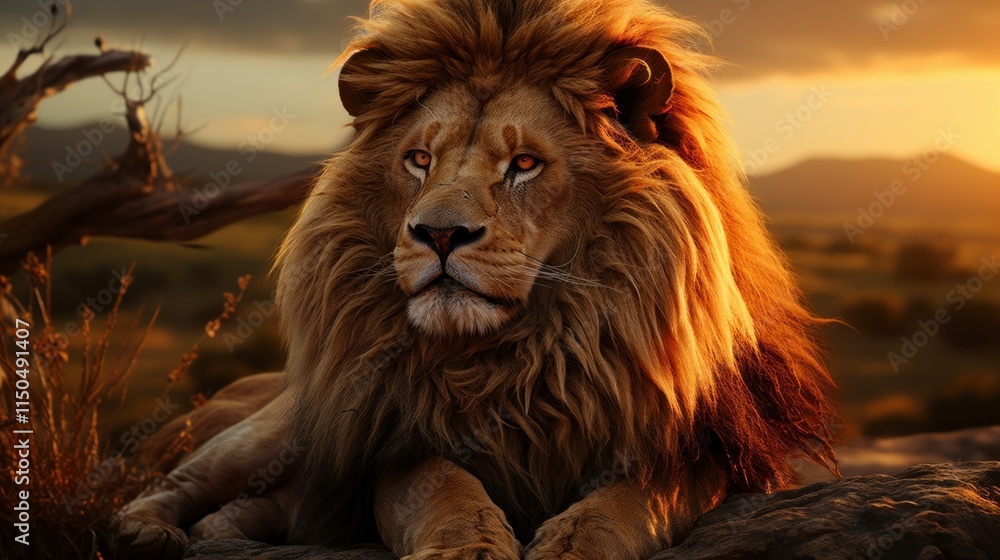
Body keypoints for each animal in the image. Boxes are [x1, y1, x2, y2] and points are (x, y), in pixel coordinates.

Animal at [111, 0, 838, 558]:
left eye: (524, 164)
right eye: (419, 160)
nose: (437, 235)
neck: (525, 357)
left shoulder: (707, 448)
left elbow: (633, 502)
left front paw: (574, 543)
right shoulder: (392, 442)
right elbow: (443, 489)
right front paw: (469, 545)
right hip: (271, 431)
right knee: (178, 487)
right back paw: (144, 534)